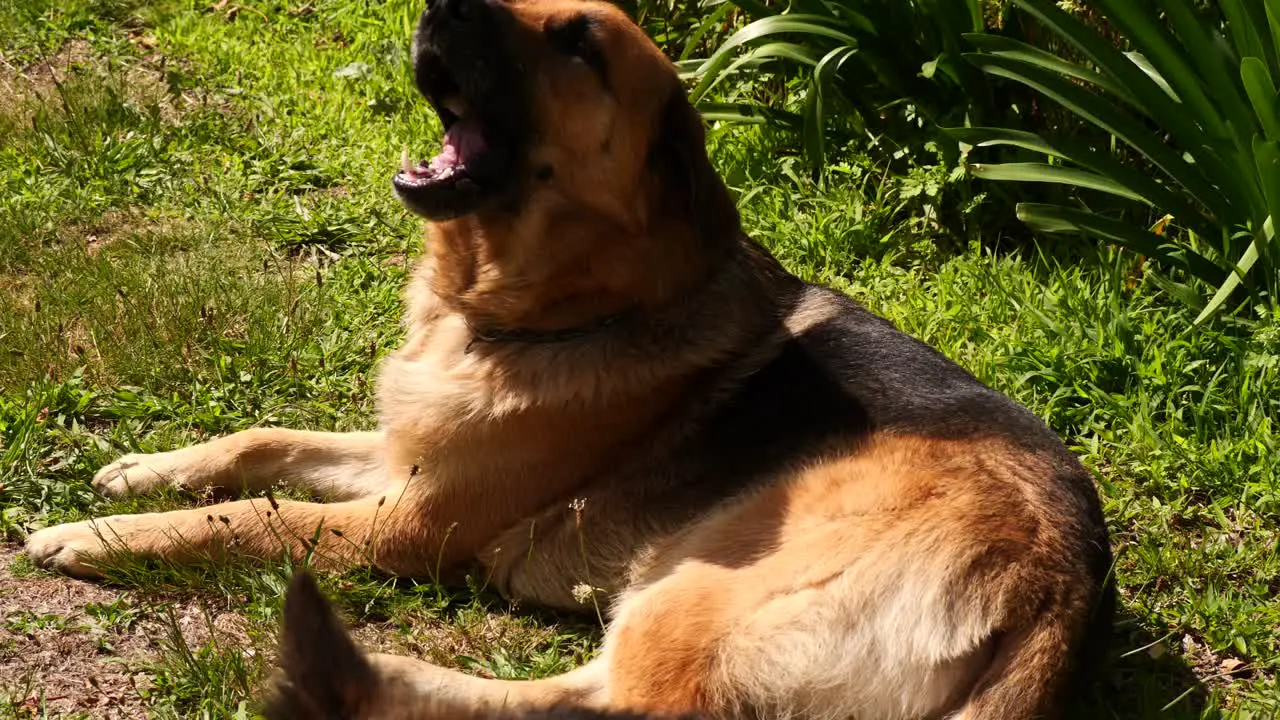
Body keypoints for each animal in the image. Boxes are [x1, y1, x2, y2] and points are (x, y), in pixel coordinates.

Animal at [24, 0, 1116, 712]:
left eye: (579, 42)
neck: (529, 313)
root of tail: (1057, 594)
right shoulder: (403, 461)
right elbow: (259, 443)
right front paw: (144, 471)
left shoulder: (406, 524)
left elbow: (252, 515)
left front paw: (101, 534)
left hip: (699, 590)